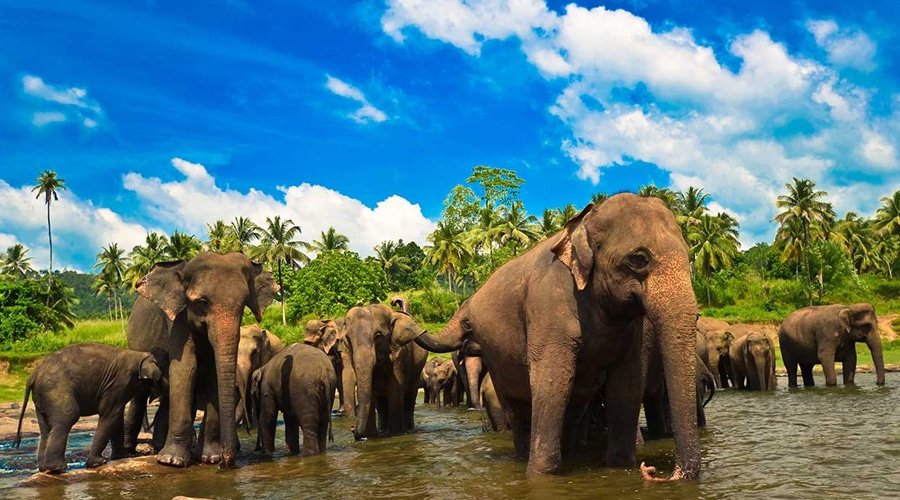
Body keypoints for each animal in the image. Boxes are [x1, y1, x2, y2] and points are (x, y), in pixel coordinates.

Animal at [15, 344, 163, 472]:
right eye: (159, 379)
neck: (138, 355)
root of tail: (33, 375)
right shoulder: (119, 383)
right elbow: (110, 414)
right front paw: (99, 462)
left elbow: (117, 416)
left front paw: (122, 457)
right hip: (56, 389)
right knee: (67, 419)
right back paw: (57, 468)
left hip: (41, 398)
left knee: (45, 428)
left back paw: (44, 468)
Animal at [125, 252, 276, 466]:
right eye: (202, 302)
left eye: (244, 303)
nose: (226, 463)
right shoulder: (177, 320)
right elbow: (185, 368)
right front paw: (172, 461)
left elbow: (213, 373)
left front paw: (210, 458)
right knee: (140, 396)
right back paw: (131, 451)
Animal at [344, 302, 428, 440]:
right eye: (348, 338)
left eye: (378, 336)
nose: (352, 428)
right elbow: (371, 393)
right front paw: (370, 437)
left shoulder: (400, 356)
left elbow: (395, 391)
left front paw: (395, 434)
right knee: (382, 405)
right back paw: (383, 429)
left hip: (416, 373)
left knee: (409, 400)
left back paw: (408, 429)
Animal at [414, 194, 704, 480]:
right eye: (639, 259)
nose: (654, 472)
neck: (583, 223)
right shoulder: (548, 307)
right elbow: (552, 382)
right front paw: (540, 476)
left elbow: (627, 386)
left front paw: (621, 467)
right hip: (496, 359)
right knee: (517, 408)